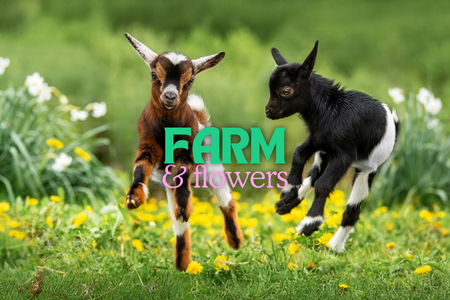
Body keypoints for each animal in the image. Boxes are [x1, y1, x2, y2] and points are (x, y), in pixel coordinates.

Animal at [266, 41, 400, 253]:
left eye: (286, 91)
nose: (268, 111)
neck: (332, 110)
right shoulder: (317, 140)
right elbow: (298, 154)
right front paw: (289, 191)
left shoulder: (344, 155)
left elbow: (324, 185)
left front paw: (309, 224)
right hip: (324, 155)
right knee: (312, 177)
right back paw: (286, 204)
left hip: (366, 170)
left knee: (351, 210)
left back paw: (335, 246)